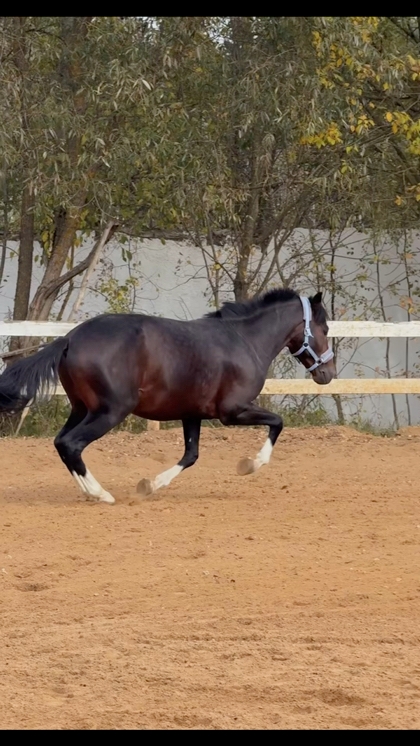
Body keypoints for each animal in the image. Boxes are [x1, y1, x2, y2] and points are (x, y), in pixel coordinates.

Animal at [0, 288, 336, 504]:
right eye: (325, 328)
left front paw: (149, 486)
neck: (245, 341)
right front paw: (249, 465)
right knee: (71, 444)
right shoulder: (232, 411)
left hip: (82, 408)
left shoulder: (192, 413)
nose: (328, 373)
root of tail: (70, 338)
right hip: (110, 411)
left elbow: (191, 455)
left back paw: (89, 491)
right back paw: (101, 494)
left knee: (61, 443)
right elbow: (277, 423)